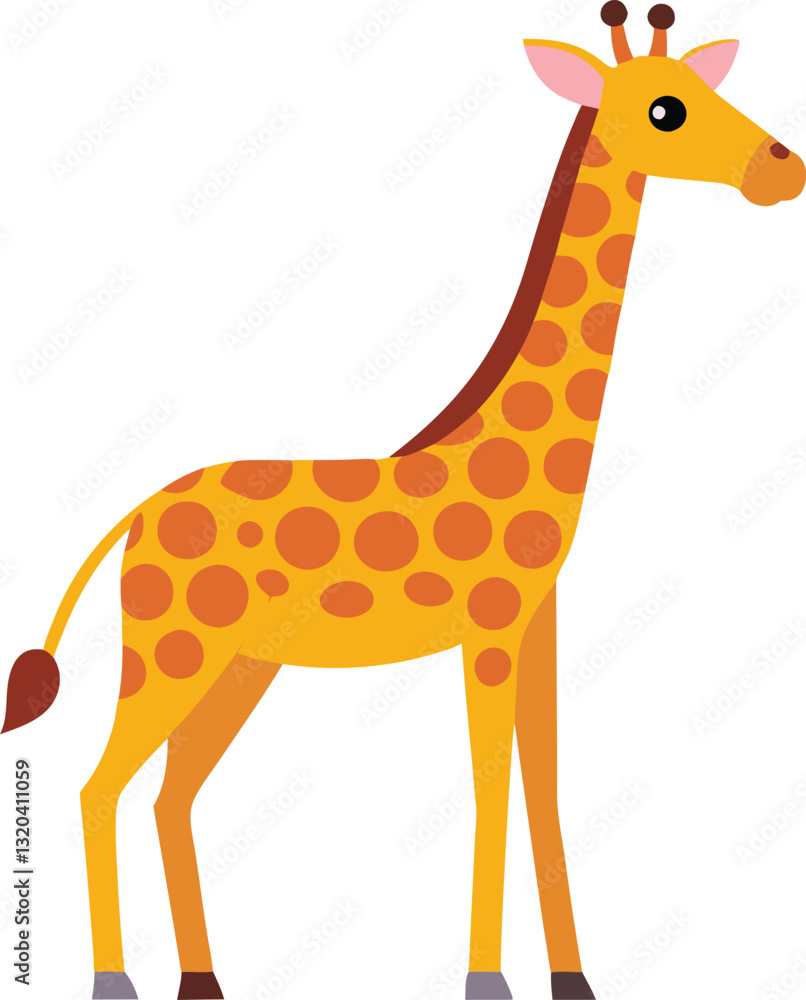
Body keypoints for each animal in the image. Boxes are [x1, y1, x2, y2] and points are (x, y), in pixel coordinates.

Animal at [3, 4, 804, 999]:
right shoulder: (489, 629)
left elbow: (543, 784)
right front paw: (486, 981)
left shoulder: (538, 625)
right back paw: (116, 981)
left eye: (704, 86)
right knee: (98, 785)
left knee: (169, 793)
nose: (784, 169)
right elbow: (490, 785)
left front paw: (573, 981)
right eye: (667, 109)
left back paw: (205, 981)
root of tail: (133, 518)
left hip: (240, 667)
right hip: (171, 654)